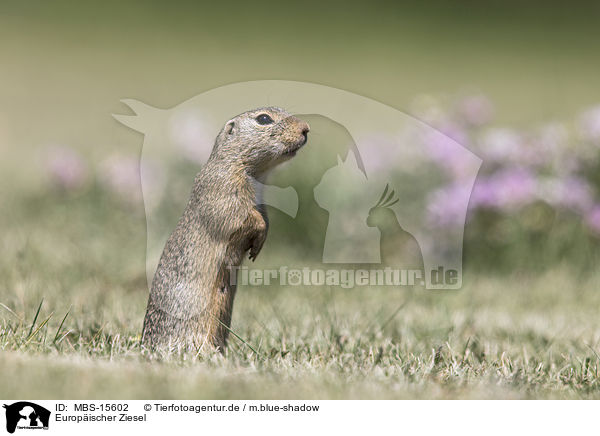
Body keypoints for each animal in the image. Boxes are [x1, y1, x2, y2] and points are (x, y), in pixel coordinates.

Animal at [141, 107, 310, 352]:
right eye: (264, 119)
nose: (306, 128)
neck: (254, 173)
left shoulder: (261, 201)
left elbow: (265, 217)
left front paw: (259, 246)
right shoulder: (225, 189)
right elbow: (239, 215)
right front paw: (257, 238)